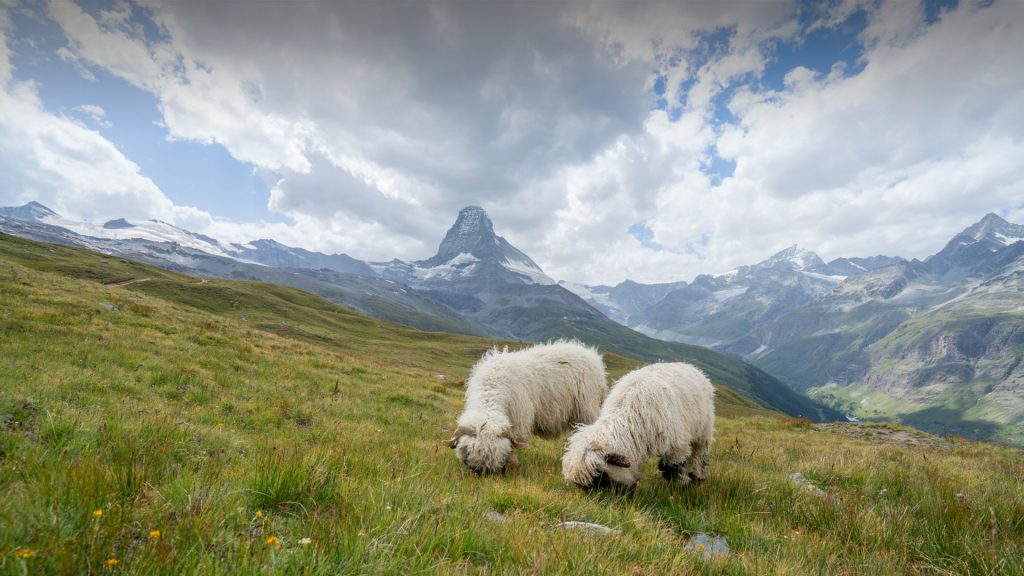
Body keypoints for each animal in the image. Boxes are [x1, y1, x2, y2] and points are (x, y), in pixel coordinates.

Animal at [442, 338, 606, 473]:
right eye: (469, 453)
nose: (482, 472)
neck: (491, 389)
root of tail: (591, 355)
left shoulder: (519, 421)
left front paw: (511, 465)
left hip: (587, 410)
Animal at [561, 360, 712, 485]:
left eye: (600, 476)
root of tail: (690, 366)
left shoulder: (677, 446)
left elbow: (674, 467)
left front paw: (679, 485)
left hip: (703, 430)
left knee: (698, 454)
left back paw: (697, 476)